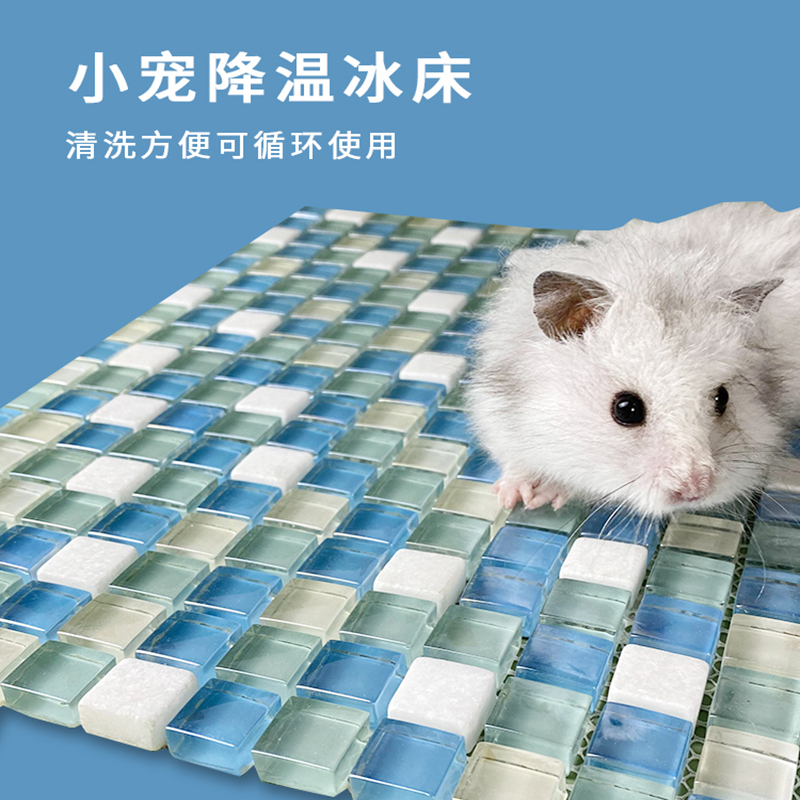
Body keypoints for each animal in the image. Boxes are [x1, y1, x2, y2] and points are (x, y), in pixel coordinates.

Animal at [467, 201, 800, 517]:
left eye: (722, 398)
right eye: (626, 409)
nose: (695, 490)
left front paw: (548, 494)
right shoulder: (496, 413)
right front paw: (518, 496)